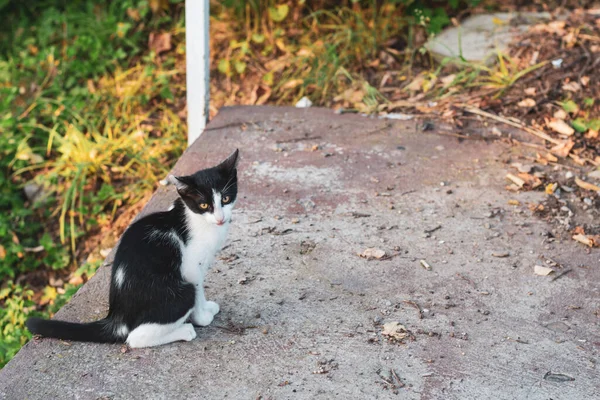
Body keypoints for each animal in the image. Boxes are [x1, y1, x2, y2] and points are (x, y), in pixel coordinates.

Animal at [26, 150, 239, 346]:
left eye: (225, 199)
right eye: (204, 205)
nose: (220, 218)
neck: (199, 221)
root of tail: (117, 318)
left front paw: (206, 309)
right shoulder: (191, 267)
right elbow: (198, 290)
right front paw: (202, 316)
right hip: (180, 293)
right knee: (135, 338)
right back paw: (184, 331)